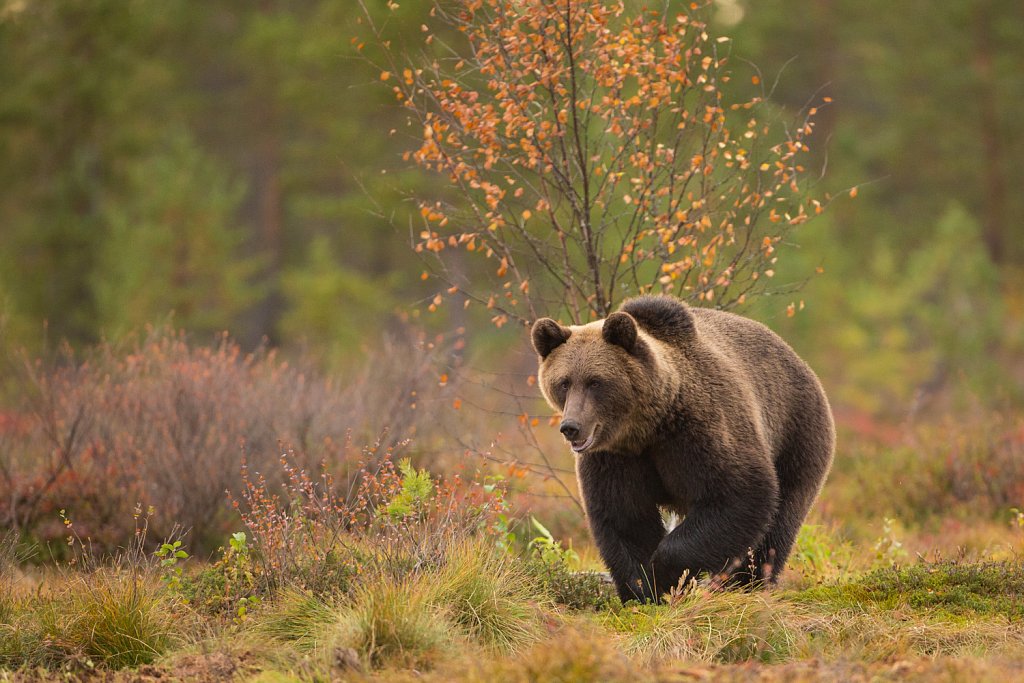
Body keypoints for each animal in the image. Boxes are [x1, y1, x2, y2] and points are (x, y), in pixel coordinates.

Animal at [532, 294, 835, 602]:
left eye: (595, 381)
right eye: (564, 382)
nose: (571, 426)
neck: (646, 427)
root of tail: (798, 358)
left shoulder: (698, 431)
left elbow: (738, 493)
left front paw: (664, 574)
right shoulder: (615, 457)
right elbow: (625, 517)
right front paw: (642, 588)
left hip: (796, 433)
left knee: (779, 520)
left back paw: (747, 582)